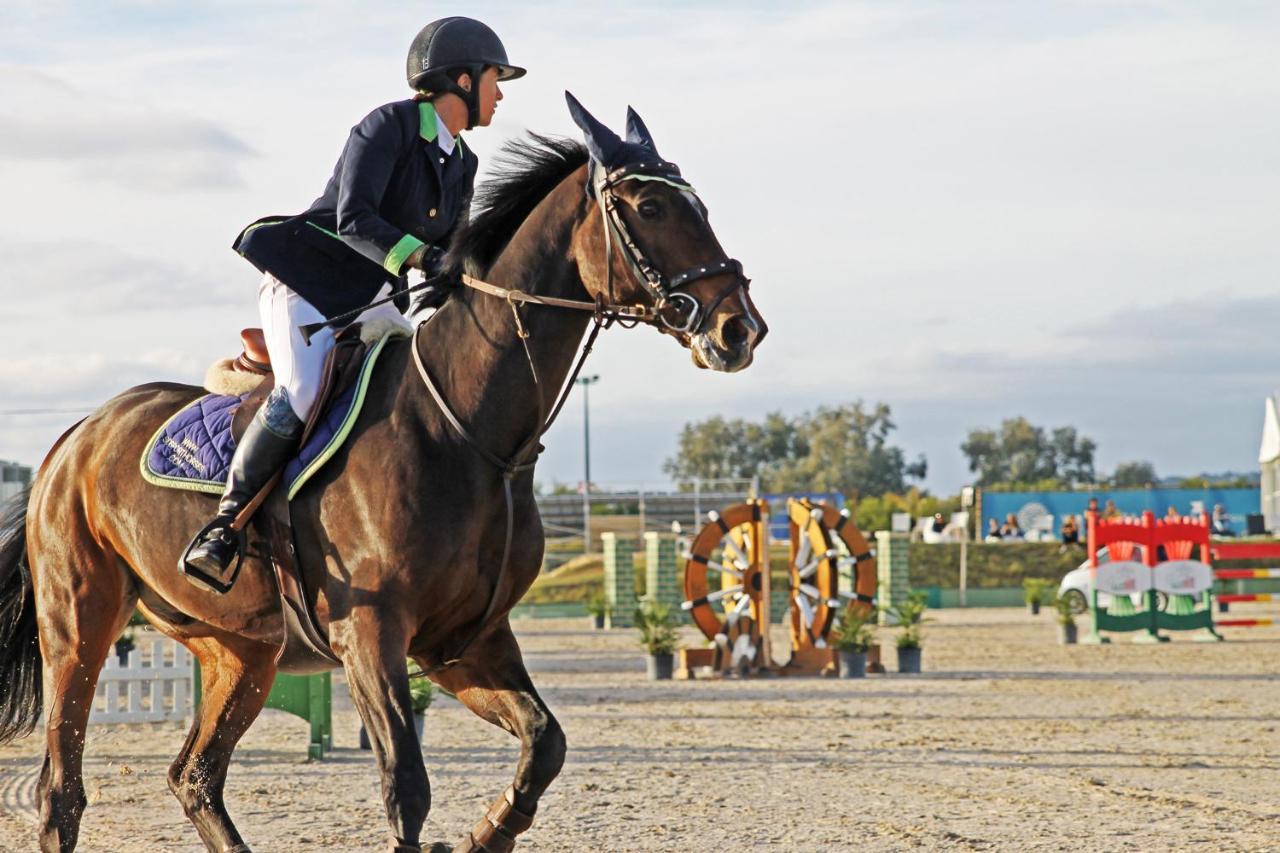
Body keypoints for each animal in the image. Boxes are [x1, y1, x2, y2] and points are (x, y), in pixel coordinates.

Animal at [0, 94, 762, 850]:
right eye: (649, 207)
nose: (740, 329)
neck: (470, 431)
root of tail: (77, 434)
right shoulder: (370, 635)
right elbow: (408, 788)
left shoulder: (466, 641)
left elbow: (544, 743)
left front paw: (486, 834)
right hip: (80, 625)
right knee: (63, 786)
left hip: (238, 649)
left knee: (195, 776)